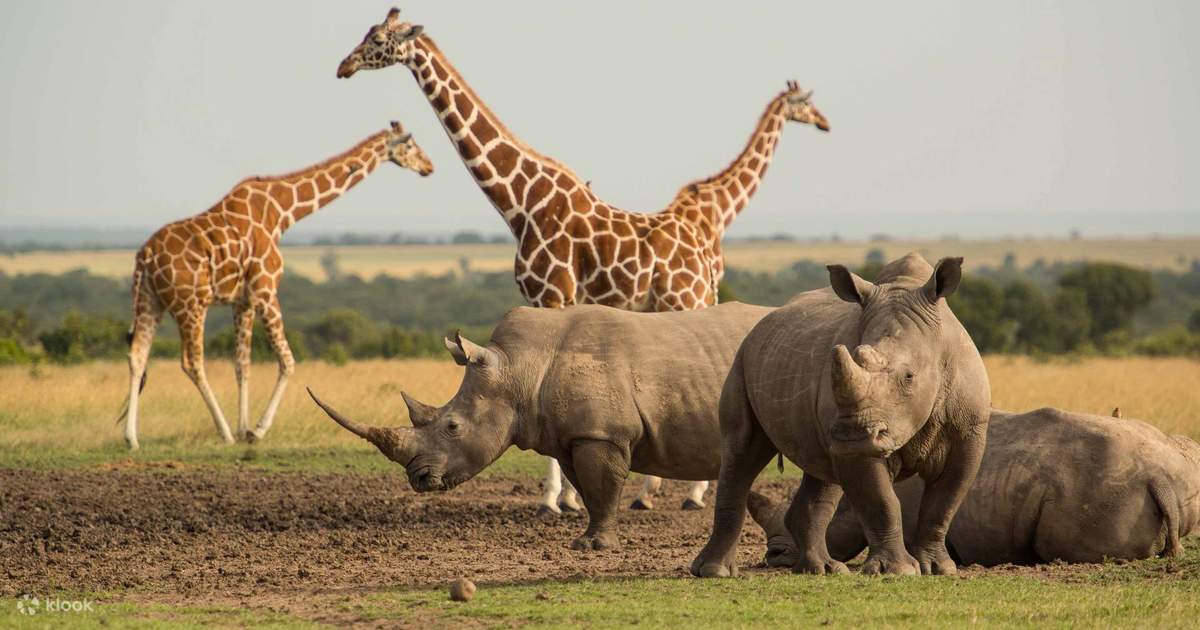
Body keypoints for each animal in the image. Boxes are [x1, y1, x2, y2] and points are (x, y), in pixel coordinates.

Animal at [118, 122, 433, 450]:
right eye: (410, 145)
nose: (429, 167)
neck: (282, 213)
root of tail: (145, 255)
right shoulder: (265, 289)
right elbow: (287, 361)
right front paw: (255, 430)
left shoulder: (241, 300)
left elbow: (242, 364)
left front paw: (244, 427)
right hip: (190, 303)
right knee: (191, 362)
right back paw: (223, 432)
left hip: (149, 301)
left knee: (137, 355)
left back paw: (132, 438)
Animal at [309, 302, 772, 550]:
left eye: (453, 427)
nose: (418, 478)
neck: (518, 369)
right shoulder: (571, 438)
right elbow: (590, 491)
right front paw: (585, 540)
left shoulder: (600, 434)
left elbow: (603, 488)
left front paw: (594, 547)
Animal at [335, 9, 829, 514]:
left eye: (377, 40)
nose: (343, 67)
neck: (523, 202)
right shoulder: (542, 297)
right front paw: (571, 496)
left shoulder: (554, 291)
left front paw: (556, 500)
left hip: (685, 298)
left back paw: (688, 493)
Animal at [691, 253, 991, 577]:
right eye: (855, 357)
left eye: (909, 377)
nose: (852, 436)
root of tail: (765, 319)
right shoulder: (861, 443)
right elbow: (881, 502)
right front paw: (895, 571)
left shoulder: (969, 431)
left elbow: (945, 501)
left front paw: (938, 568)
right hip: (742, 360)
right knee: (743, 451)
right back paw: (715, 572)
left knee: (821, 472)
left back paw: (821, 569)